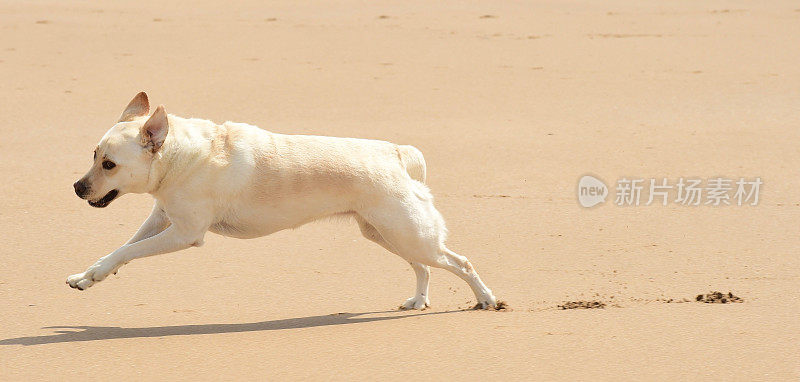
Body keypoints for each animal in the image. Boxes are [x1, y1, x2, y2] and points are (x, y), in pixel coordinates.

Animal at [69, 93, 496, 310]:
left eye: (109, 164)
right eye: (93, 155)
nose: (76, 187)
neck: (180, 156)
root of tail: (396, 154)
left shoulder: (184, 233)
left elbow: (128, 251)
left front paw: (99, 273)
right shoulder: (161, 218)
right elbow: (121, 248)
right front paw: (90, 275)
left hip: (410, 234)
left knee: (460, 262)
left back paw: (486, 300)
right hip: (388, 234)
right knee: (423, 267)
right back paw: (419, 301)